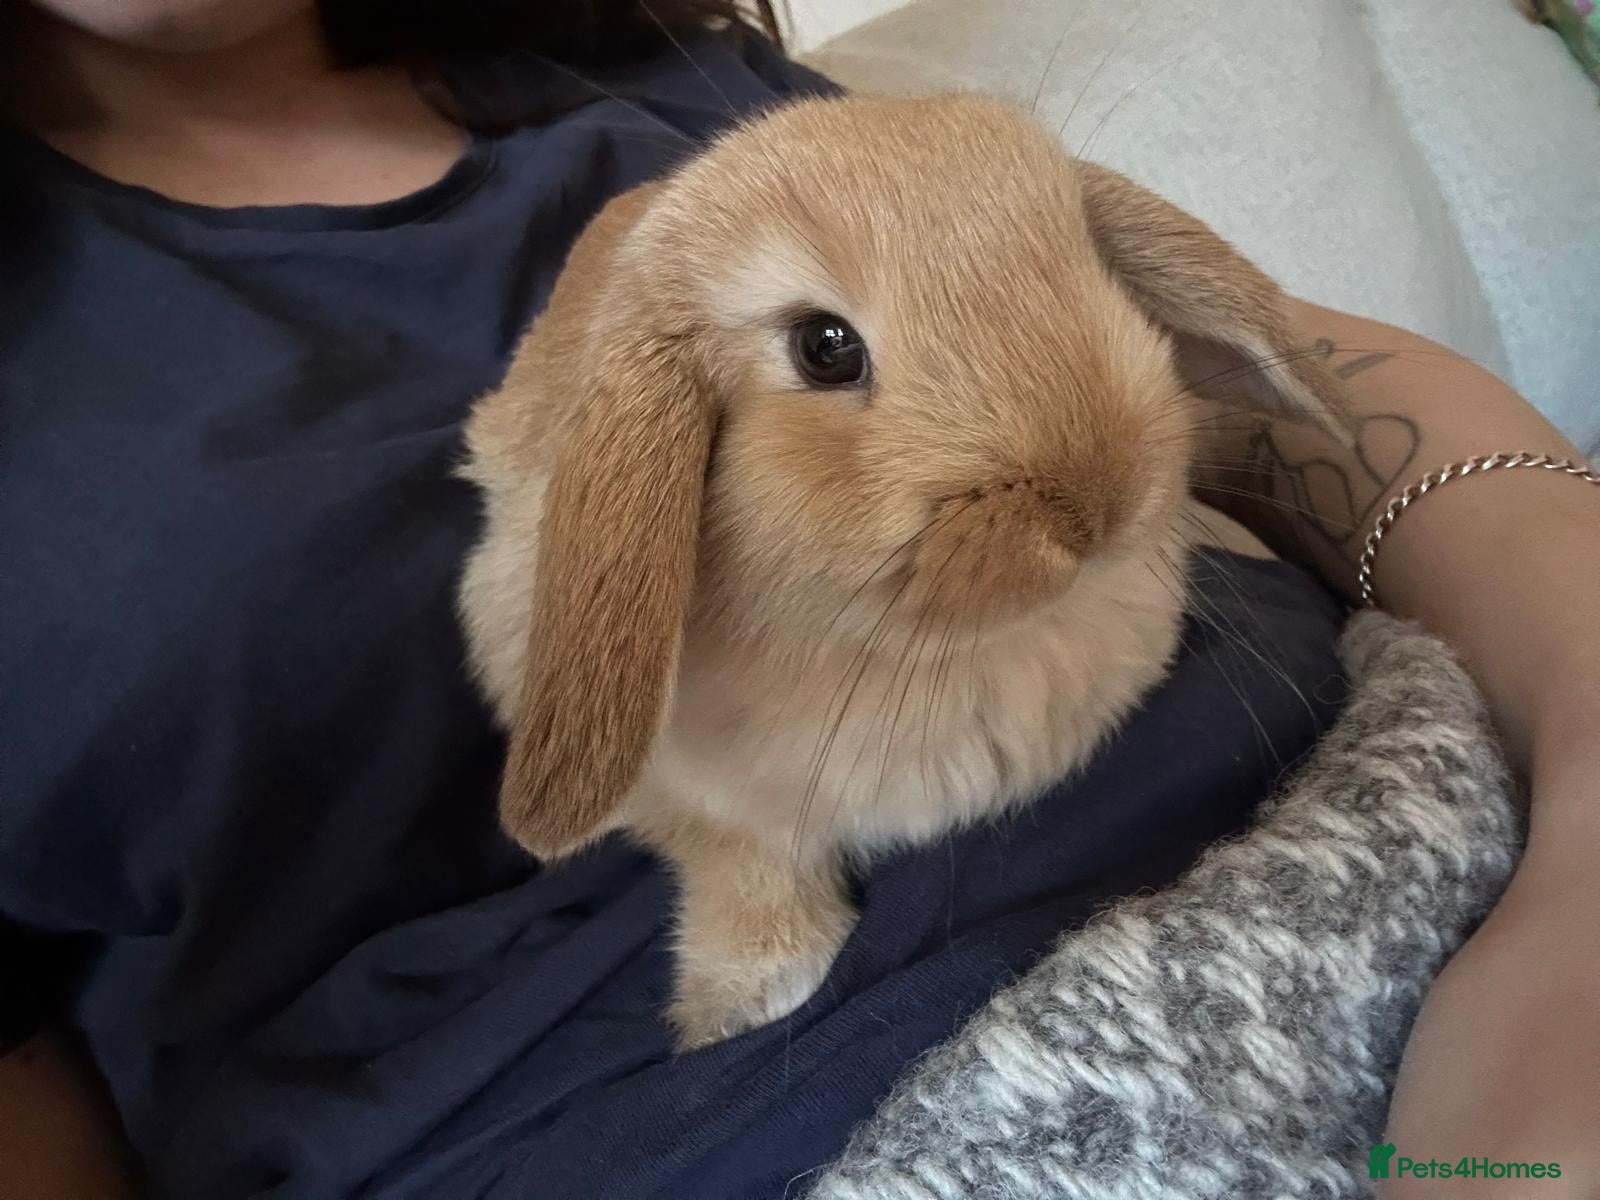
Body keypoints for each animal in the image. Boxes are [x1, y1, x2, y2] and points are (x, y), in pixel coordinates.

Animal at [456, 92, 1345, 1050]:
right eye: (825, 347)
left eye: (1087, 257)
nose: (1098, 503)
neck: (940, 652)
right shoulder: (685, 795)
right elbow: (734, 854)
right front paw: (753, 994)